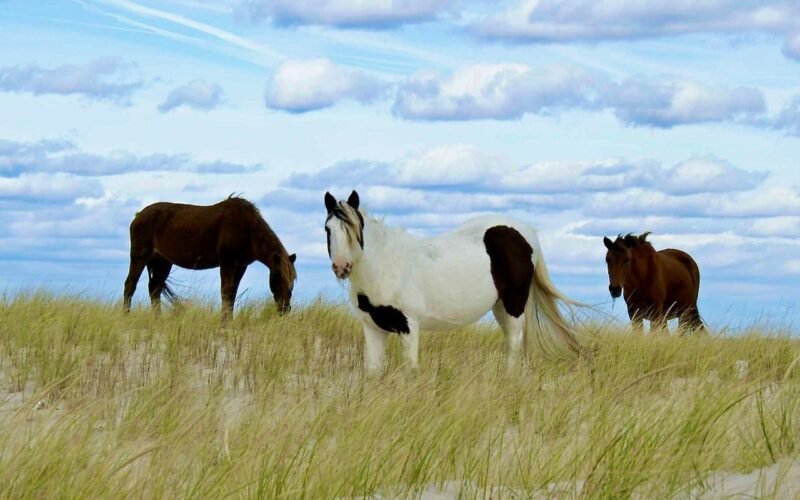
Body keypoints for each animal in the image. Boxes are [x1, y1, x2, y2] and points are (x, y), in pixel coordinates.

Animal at [123, 196, 297, 317]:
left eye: (292, 281)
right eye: (279, 278)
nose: (285, 309)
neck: (248, 229)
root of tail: (138, 216)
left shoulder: (240, 266)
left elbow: (232, 294)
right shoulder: (227, 263)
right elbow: (226, 293)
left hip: (163, 261)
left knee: (155, 289)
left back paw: (157, 319)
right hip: (140, 256)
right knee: (130, 284)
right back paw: (126, 316)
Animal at [323, 190, 586, 374]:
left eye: (355, 230)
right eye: (328, 229)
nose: (341, 267)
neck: (385, 266)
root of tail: (526, 231)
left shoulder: (408, 326)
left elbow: (410, 371)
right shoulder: (373, 327)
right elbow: (373, 372)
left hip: (514, 305)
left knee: (513, 346)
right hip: (499, 306)